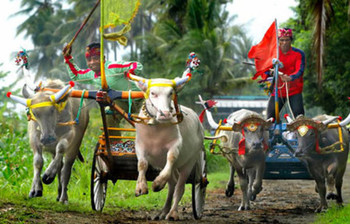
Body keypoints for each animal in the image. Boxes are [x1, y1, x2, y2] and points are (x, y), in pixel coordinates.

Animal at [126, 70, 205, 220]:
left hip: (190, 161)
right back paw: (163, 212)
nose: (166, 114)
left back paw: (172, 212)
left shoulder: (176, 144)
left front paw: (157, 183)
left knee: (179, 187)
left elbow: (171, 157)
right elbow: (142, 164)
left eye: (170, 93)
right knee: (172, 183)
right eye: (153, 93)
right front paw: (140, 187)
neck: (156, 127)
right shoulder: (140, 145)